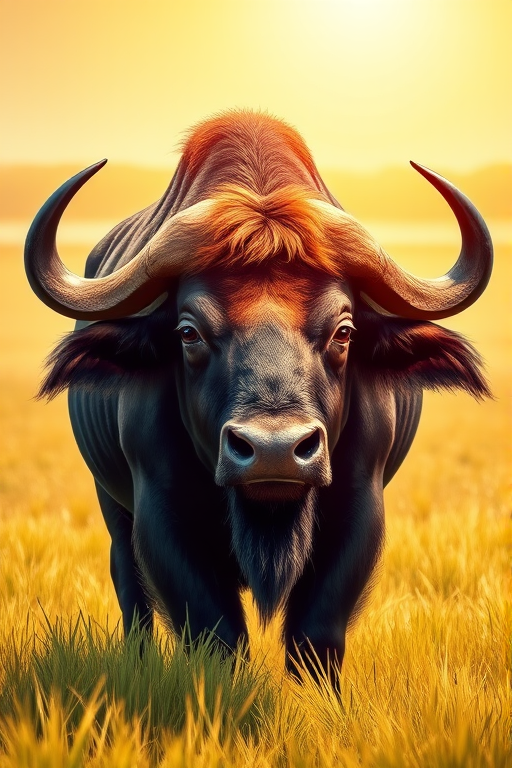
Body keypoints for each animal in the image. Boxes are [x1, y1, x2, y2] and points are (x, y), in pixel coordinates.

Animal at [25, 111, 492, 681]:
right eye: (188, 332)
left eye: (344, 331)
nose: (275, 451)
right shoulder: (160, 514)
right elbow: (214, 633)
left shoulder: (360, 508)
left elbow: (316, 635)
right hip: (111, 507)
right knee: (129, 587)